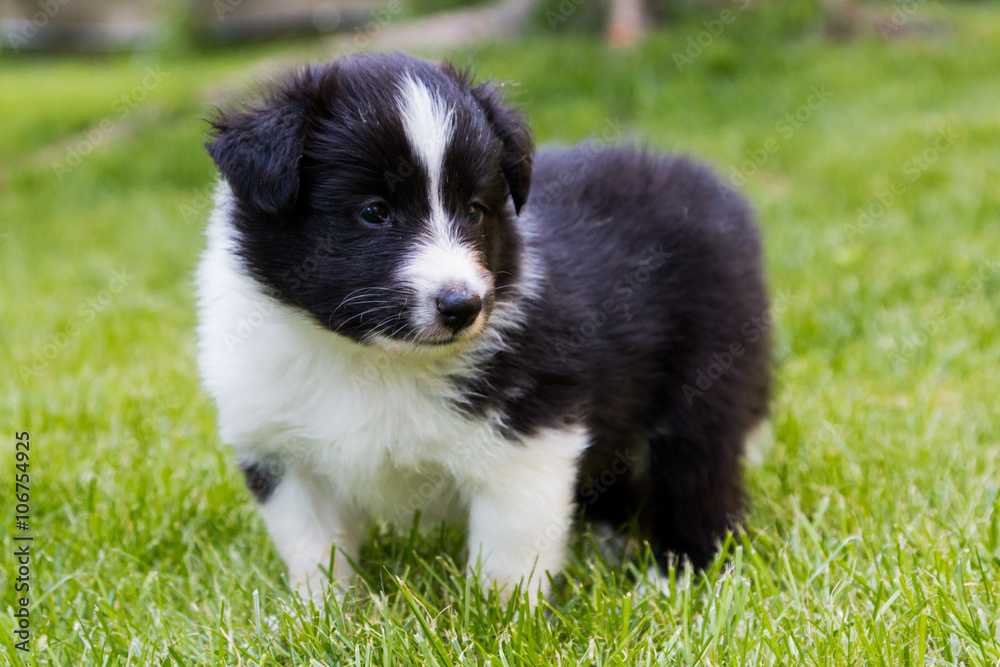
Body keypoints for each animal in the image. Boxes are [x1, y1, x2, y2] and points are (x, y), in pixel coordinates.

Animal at [197, 52, 772, 604]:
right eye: (374, 212)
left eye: (474, 210)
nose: (462, 307)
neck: (372, 359)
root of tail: (709, 188)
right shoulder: (280, 451)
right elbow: (314, 545)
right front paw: (320, 614)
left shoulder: (529, 435)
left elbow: (509, 548)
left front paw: (500, 616)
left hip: (708, 369)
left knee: (698, 473)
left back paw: (676, 576)